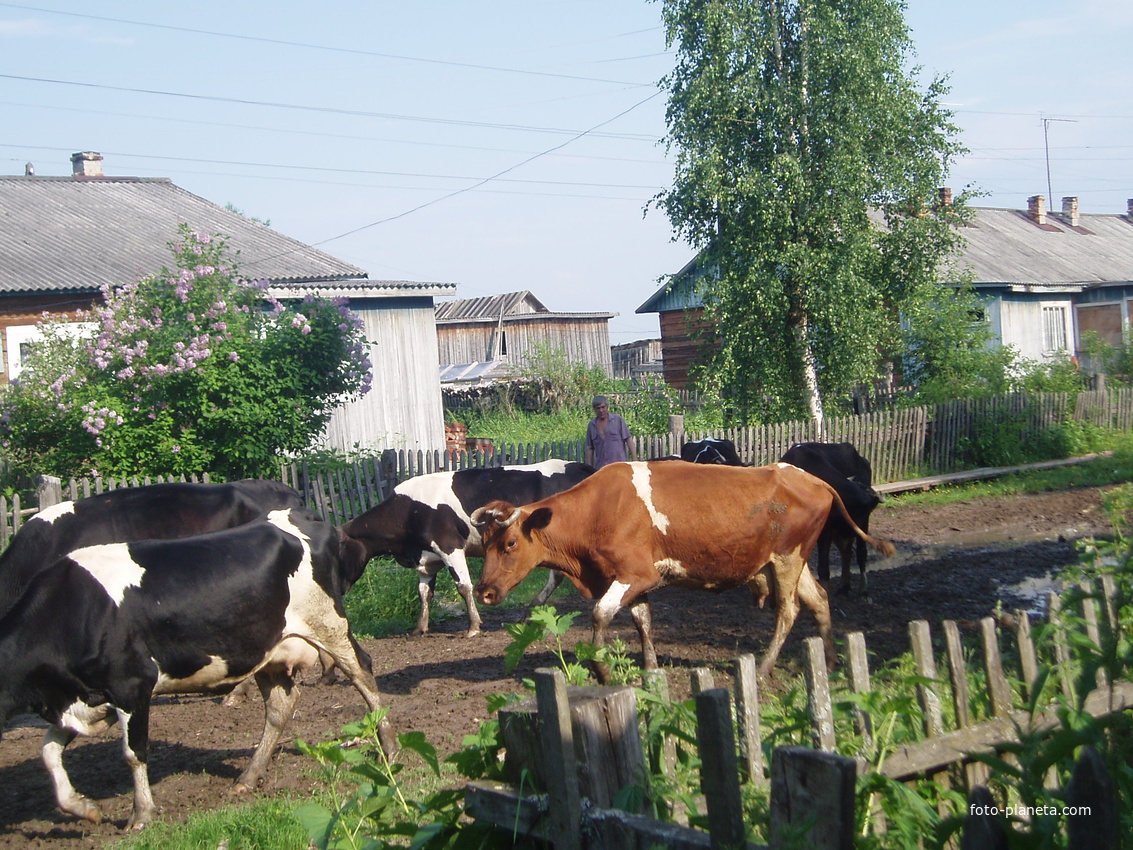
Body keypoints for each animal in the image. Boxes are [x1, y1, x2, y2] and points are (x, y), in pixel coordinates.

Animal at [0, 508, 393, 830]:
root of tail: (303, 516)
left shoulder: (132, 684)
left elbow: (133, 753)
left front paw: (141, 815)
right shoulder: (86, 698)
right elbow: (48, 751)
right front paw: (82, 807)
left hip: (328, 624)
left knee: (363, 672)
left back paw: (388, 748)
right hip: (267, 649)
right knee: (282, 705)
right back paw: (249, 777)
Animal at [338, 459, 596, 637]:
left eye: (336, 551)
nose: (338, 589)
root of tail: (580, 466)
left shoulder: (450, 546)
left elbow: (463, 586)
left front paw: (473, 626)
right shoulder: (427, 560)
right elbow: (424, 593)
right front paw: (420, 628)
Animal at [471, 461, 895, 682]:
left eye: (510, 544)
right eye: (485, 544)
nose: (485, 591)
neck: (597, 511)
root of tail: (812, 478)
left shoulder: (633, 575)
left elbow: (600, 614)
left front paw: (601, 670)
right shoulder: (634, 579)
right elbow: (642, 621)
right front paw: (651, 668)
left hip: (788, 559)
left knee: (788, 610)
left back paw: (764, 667)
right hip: (793, 560)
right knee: (819, 600)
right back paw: (831, 662)